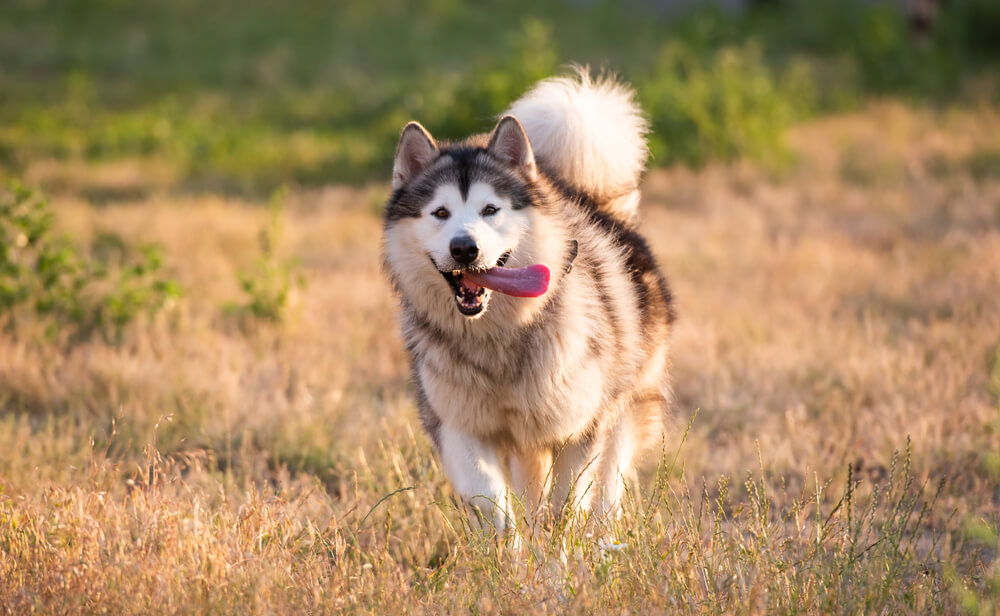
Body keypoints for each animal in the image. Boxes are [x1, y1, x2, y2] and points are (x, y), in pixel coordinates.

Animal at [380, 67, 672, 532]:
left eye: (490, 210)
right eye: (440, 213)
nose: (464, 249)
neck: (500, 332)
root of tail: (594, 201)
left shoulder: (582, 427)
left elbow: (568, 505)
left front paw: (559, 550)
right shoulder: (458, 424)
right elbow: (493, 504)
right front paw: (511, 549)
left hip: (625, 408)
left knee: (608, 491)